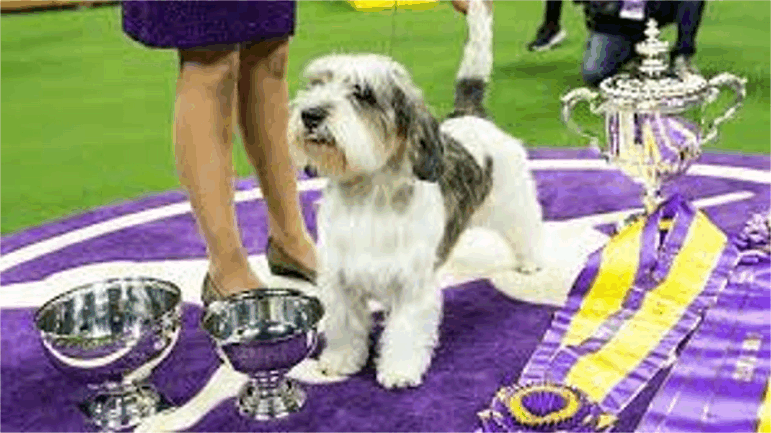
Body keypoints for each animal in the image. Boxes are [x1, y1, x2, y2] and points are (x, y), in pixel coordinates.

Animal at [286, 0, 544, 388]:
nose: (310, 114)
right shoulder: (340, 282)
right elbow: (345, 326)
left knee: (526, 228)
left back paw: (531, 261)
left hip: (513, 199)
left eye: (362, 93)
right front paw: (342, 360)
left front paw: (398, 371)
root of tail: (470, 115)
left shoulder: (411, 287)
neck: (368, 197)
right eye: (317, 84)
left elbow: (405, 331)